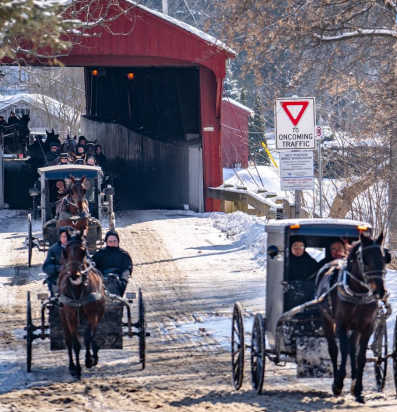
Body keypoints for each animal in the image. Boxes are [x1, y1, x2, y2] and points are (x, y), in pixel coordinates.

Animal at [57, 230, 105, 378]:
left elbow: (89, 336)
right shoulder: (70, 316)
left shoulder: (93, 313)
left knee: (93, 332)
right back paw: (72, 366)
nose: (74, 275)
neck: (79, 289)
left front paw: (89, 360)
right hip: (62, 314)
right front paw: (77, 369)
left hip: (100, 311)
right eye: (65, 251)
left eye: (83, 251)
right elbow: (75, 343)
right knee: (68, 341)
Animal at [314, 232, 386, 402]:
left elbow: (360, 356)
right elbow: (343, 349)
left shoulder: (367, 327)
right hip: (327, 320)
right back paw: (337, 381)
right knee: (334, 349)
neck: (358, 293)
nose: (380, 291)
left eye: (383, 258)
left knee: (353, 348)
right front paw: (338, 382)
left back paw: (353, 381)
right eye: (365, 259)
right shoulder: (341, 325)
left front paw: (358, 387)